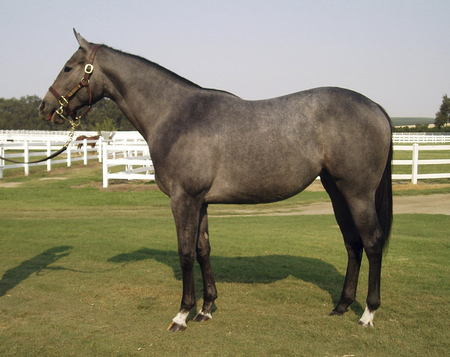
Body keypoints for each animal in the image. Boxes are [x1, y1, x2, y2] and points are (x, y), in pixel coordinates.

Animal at [37, 30, 390, 330]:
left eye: (69, 67)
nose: (45, 107)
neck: (176, 115)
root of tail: (375, 107)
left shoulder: (183, 199)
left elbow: (185, 253)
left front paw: (182, 315)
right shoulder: (201, 201)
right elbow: (203, 249)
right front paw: (206, 309)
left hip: (357, 193)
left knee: (372, 243)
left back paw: (368, 313)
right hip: (337, 191)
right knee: (353, 243)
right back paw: (342, 306)